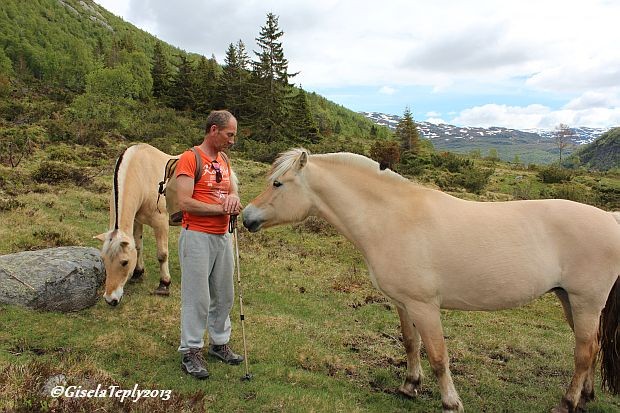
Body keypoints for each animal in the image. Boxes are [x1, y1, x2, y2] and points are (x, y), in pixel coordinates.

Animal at [95, 143, 176, 304]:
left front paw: (164, 284)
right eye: (104, 260)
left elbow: (162, 254)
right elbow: (138, 247)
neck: (143, 175)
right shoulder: (137, 220)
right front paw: (138, 273)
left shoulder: (161, 222)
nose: (110, 299)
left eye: (124, 262)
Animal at [243, 149, 620, 412]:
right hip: (568, 299)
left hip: (585, 301)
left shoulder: (425, 306)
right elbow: (411, 344)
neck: (393, 219)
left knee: (584, 351)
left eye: (277, 183)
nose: (246, 217)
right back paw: (585, 396)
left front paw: (450, 402)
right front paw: (409, 386)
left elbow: (439, 355)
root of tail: (610, 218)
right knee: (592, 346)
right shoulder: (403, 303)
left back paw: (567, 403)